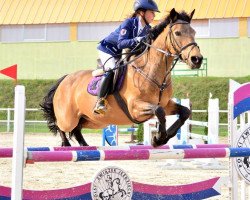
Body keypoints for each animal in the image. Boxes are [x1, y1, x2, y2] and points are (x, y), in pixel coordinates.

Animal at [39, 8, 203, 147]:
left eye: (194, 32)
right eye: (177, 33)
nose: (197, 59)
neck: (151, 72)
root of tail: (64, 79)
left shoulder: (166, 104)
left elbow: (184, 112)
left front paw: (163, 137)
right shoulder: (135, 107)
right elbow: (159, 112)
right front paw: (159, 138)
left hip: (91, 120)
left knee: (77, 129)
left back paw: (85, 146)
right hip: (68, 118)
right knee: (61, 125)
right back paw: (66, 144)